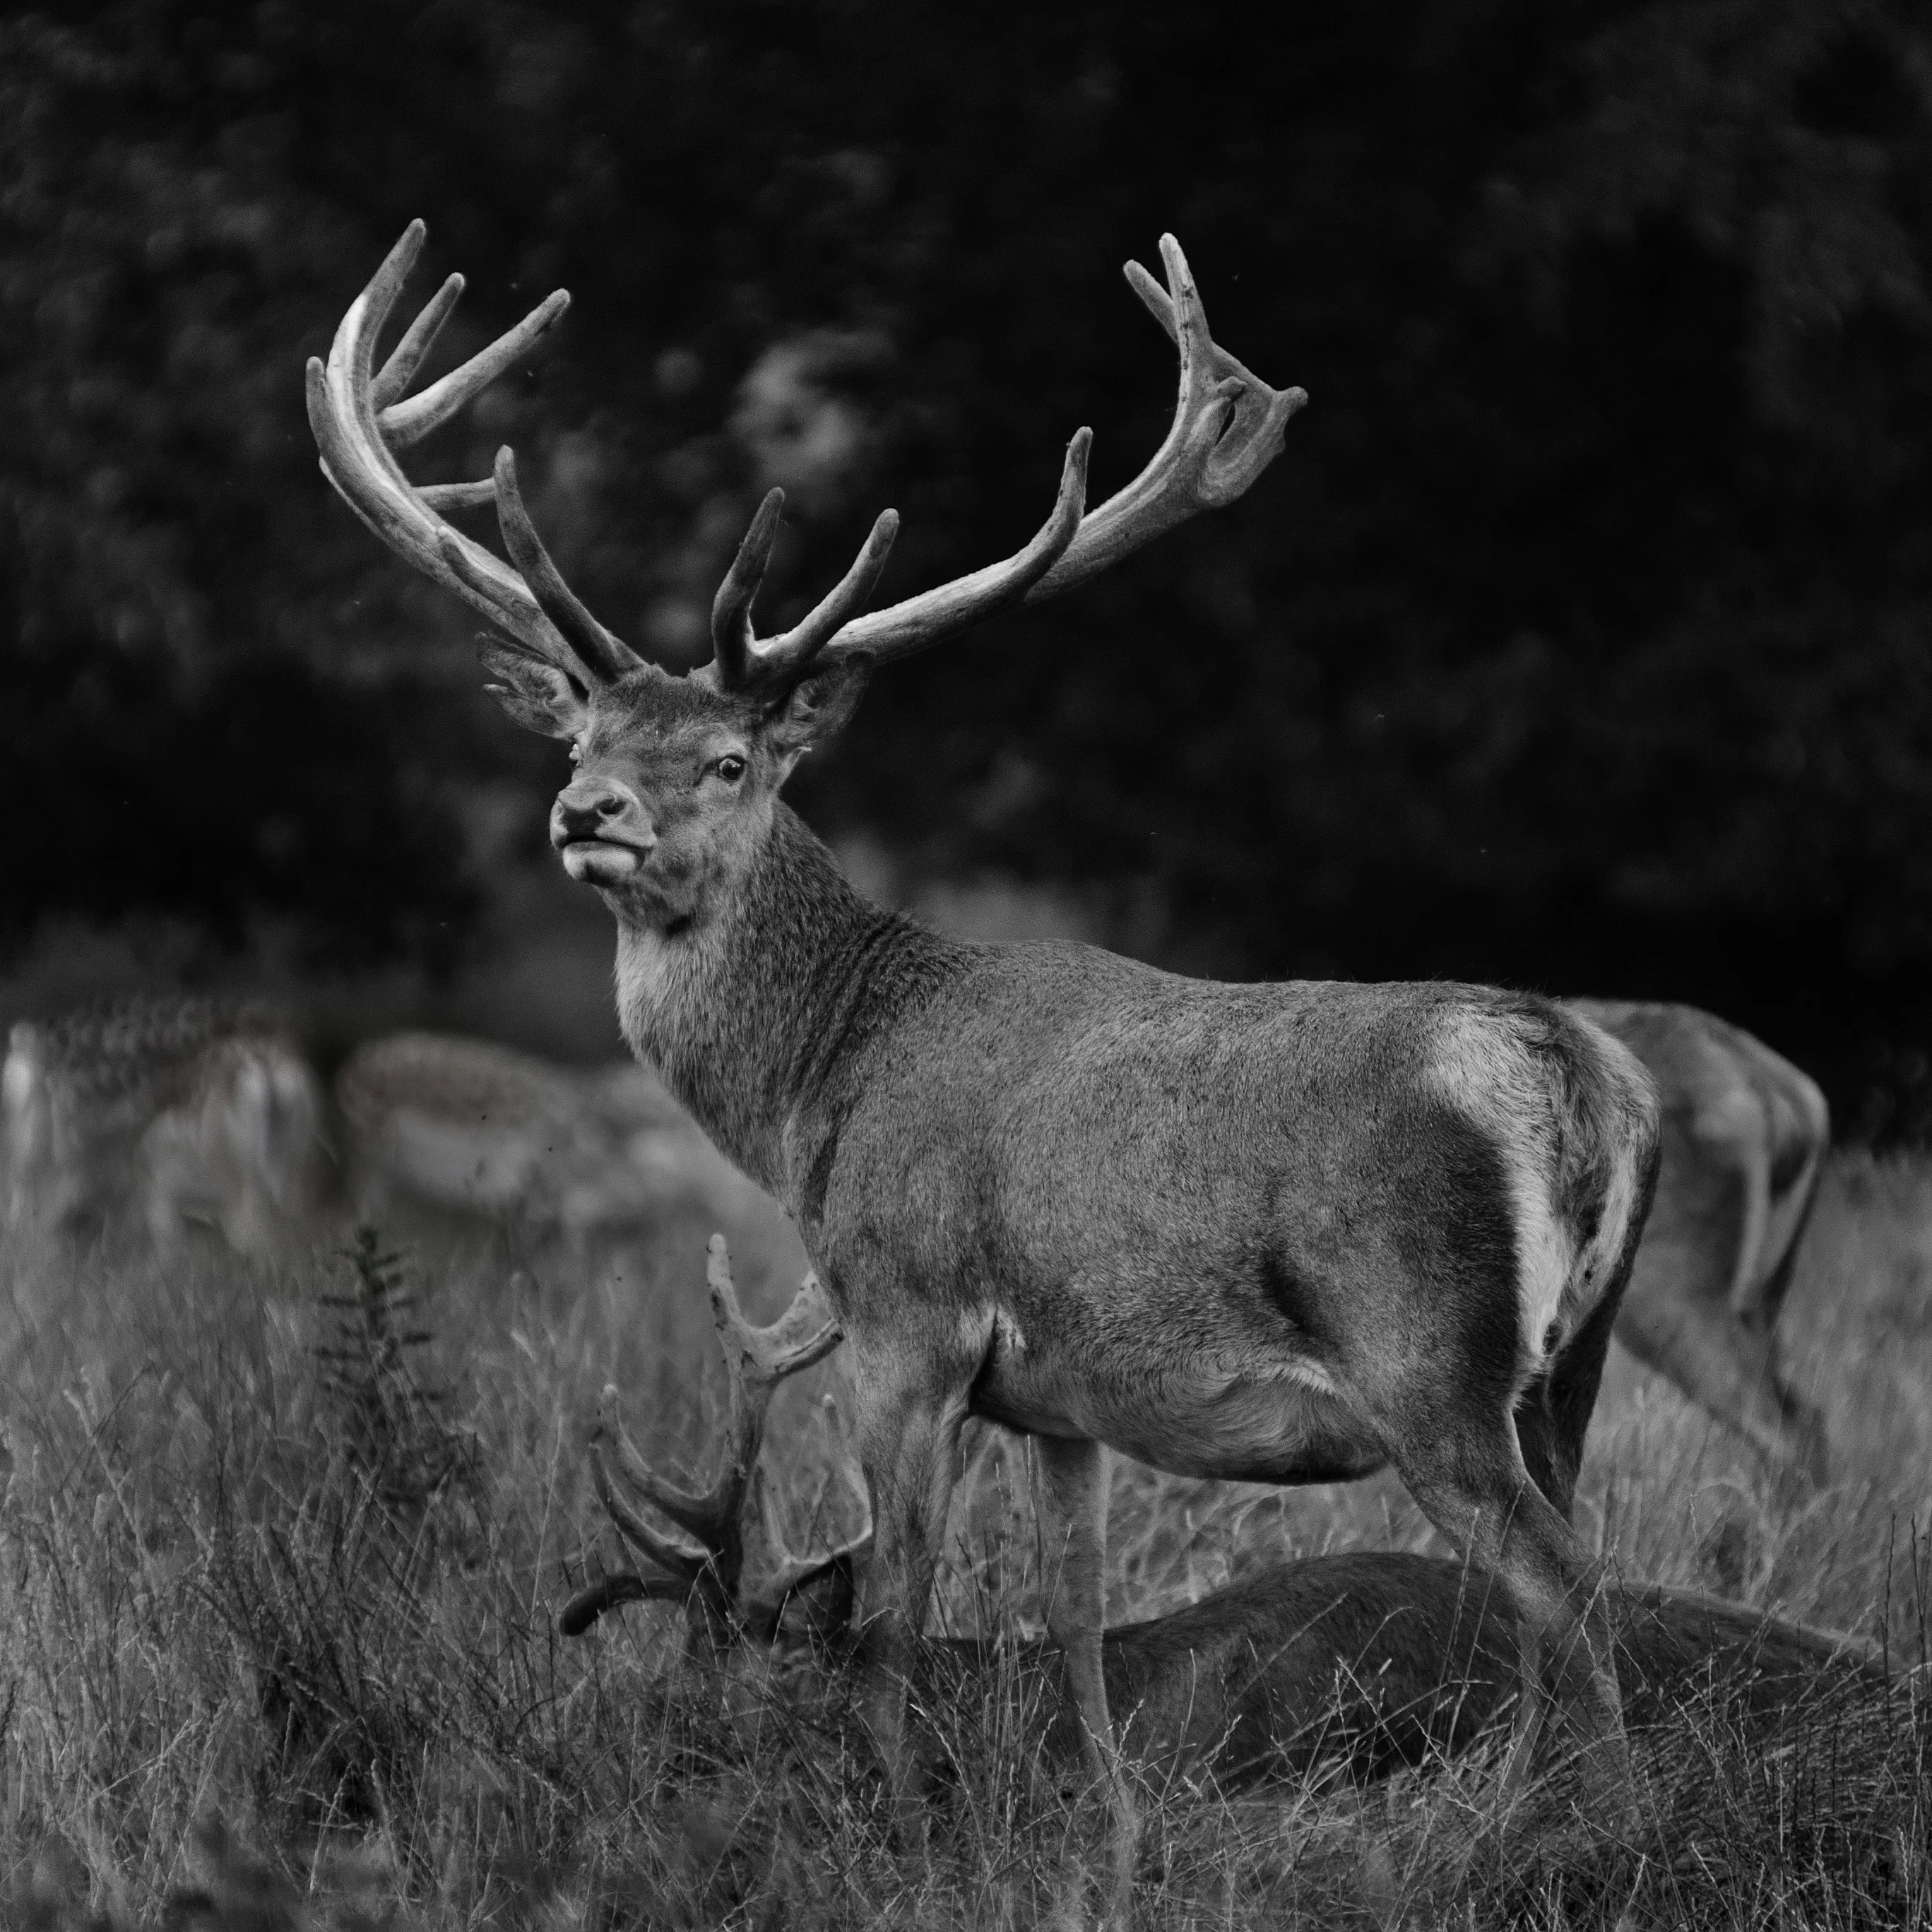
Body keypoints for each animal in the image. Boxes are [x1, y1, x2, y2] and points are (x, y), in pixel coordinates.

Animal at [308, 218, 1663, 1910]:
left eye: (731, 760)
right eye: (579, 741)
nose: (587, 816)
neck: (821, 1081)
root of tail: (1582, 1079)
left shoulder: (903, 1316)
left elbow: (896, 1607)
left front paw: (890, 1833)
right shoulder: (1063, 1398)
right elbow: (1072, 1615)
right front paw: (1110, 1839)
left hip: (1427, 1356)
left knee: (1565, 1583)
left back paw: (1597, 1841)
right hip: (1572, 1363)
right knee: (1563, 1567)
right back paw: (1514, 1821)